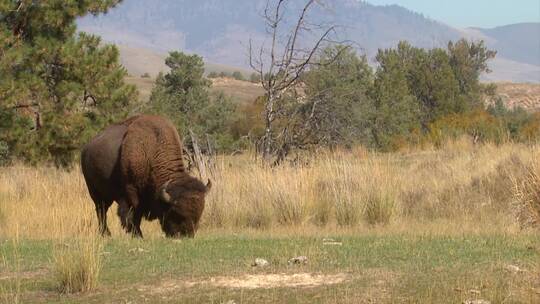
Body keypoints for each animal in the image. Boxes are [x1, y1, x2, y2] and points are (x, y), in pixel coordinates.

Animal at [80, 115, 211, 239]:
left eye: (199, 214)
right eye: (175, 213)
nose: (186, 235)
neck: (151, 150)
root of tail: (86, 148)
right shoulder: (131, 193)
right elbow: (133, 215)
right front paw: (138, 235)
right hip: (95, 193)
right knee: (101, 211)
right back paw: (106, 233)